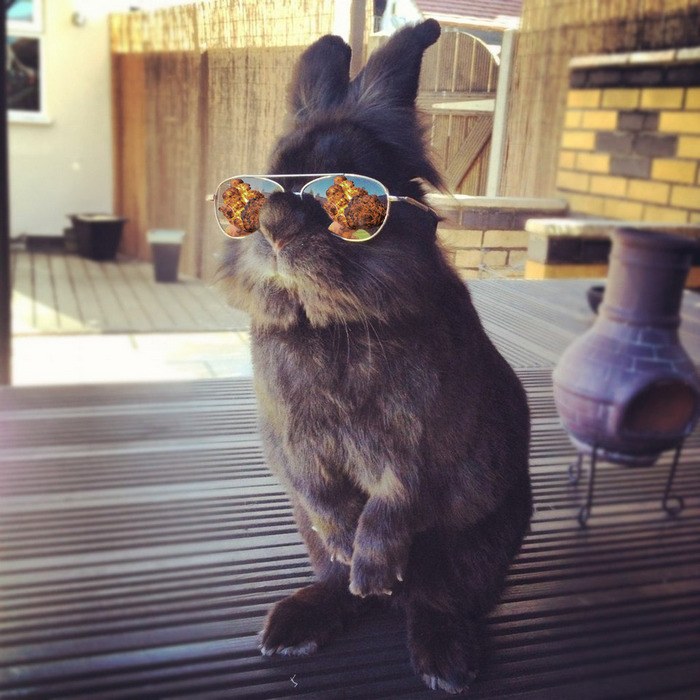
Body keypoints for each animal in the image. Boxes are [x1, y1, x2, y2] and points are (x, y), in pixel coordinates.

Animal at [218, 19, 532, 695]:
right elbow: (323, 496)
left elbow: (395, 502)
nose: (274, 225)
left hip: (476, 548)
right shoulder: (292, 442)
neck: (331, 324)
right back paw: (296, 625)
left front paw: (375, 569)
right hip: (309, 536)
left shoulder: (424, 444)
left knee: (436, 598)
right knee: (339, 586)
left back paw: (441, 657)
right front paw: (351, 551)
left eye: (349, 179)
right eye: (265, 181)